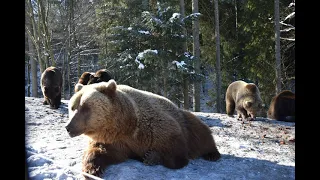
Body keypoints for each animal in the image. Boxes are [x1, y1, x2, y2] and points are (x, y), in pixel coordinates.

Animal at [65, 80, 220, 179]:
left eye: (85, 108)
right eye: (73, 107)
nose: (68, 127)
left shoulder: (155, 128)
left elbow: (176, 153)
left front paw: (152, 157)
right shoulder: (114, 141)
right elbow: (101, 152)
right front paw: (92, 170)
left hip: (186, 119)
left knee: (201, 134)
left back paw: (212, 154)